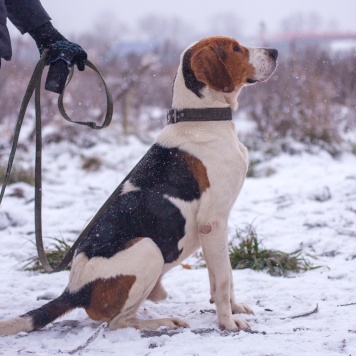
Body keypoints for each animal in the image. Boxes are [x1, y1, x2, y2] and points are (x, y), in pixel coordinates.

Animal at [0, 34, 278, 336]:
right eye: (236, 48)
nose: (275, 51)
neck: (201, 118)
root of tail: (74, 291)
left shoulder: (219, 224)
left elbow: (224, 277)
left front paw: (234, 308)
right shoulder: (212, 222)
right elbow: (224, 278)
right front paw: (228, 321)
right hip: (148, 248)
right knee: (117, 323)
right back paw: (163, 322)